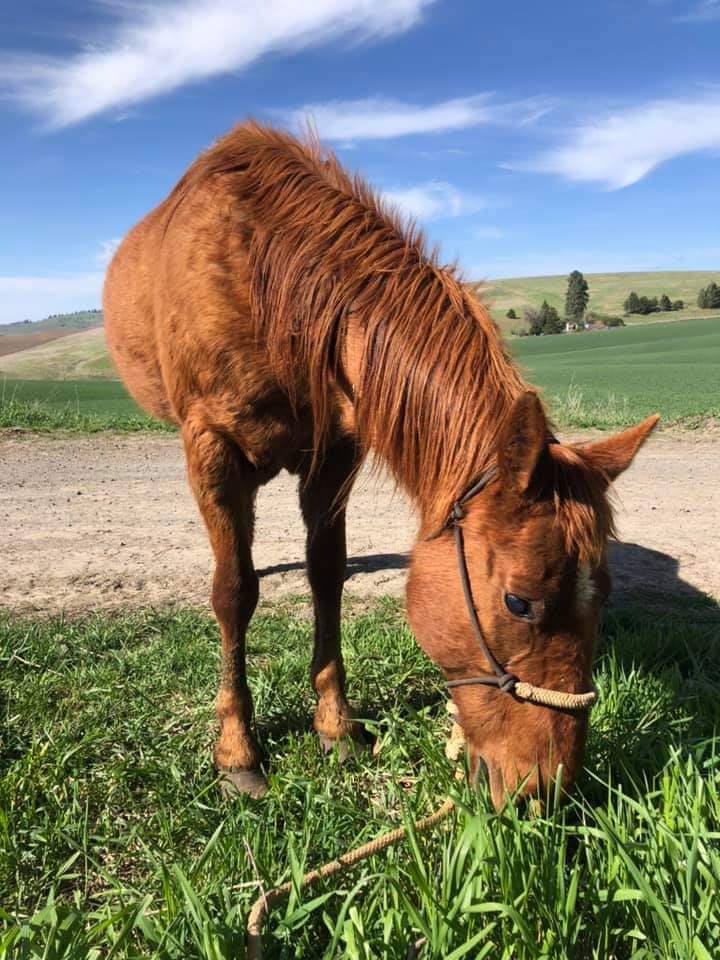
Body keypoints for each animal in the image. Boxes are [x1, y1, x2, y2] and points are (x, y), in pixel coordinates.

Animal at [104, 122, 658, 808]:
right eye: (519, 602)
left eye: (604, 594)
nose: (549, 788)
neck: (265, 286)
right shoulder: (212, 448)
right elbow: (234, 591)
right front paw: (237, 748)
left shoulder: (335, 455)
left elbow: (327, 575)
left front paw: (335, 725)